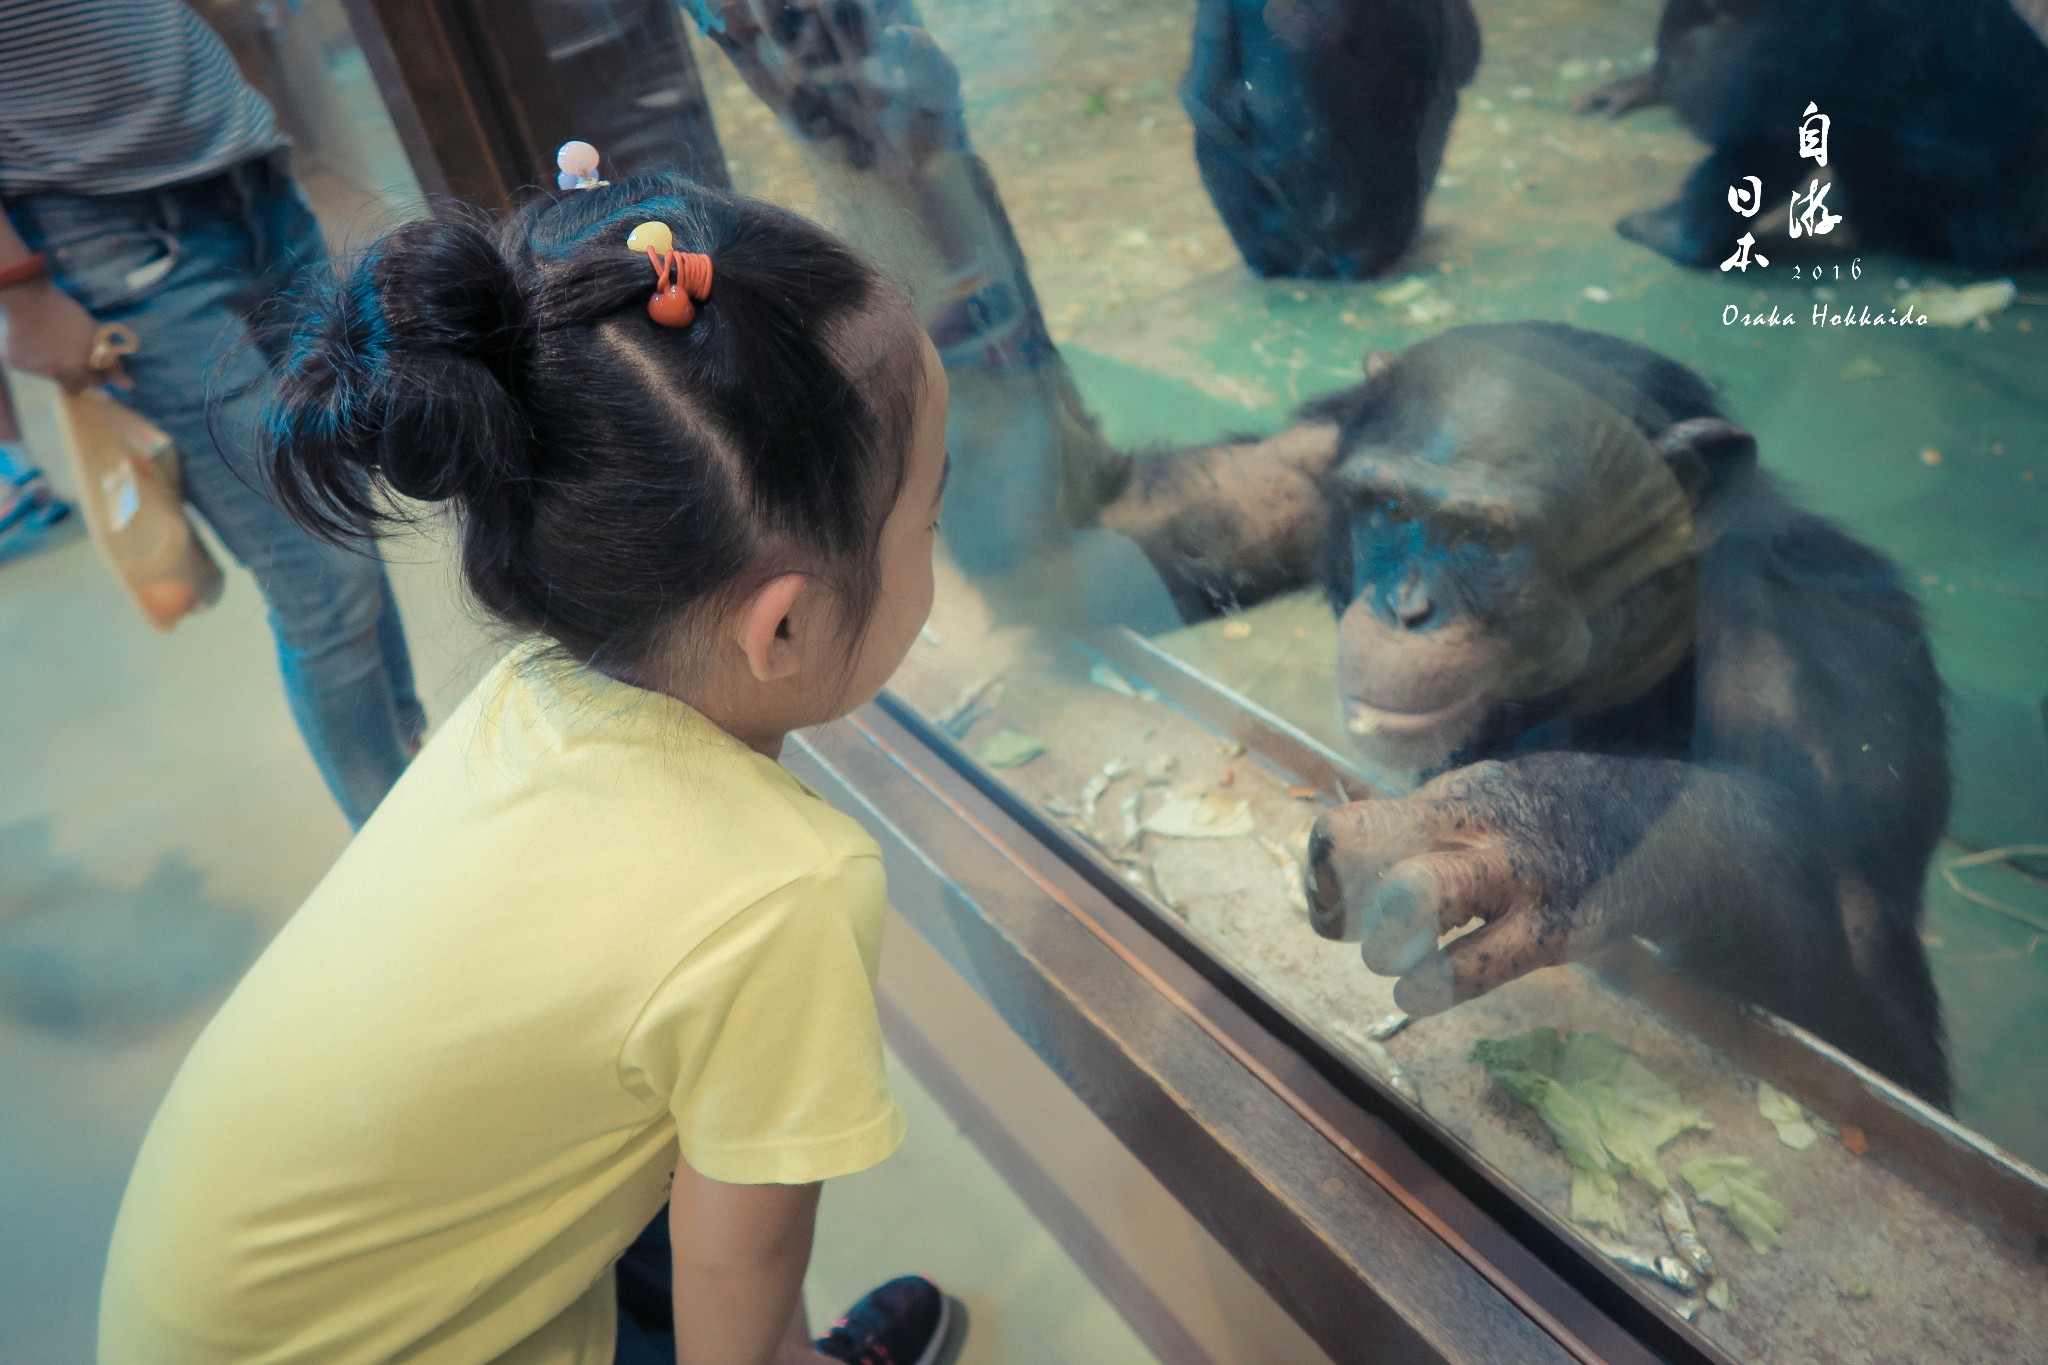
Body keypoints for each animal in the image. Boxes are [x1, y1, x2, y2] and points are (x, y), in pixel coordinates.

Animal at [1073, 323, 1949, 1113]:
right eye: (1387, 506)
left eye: (1489, 539)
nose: (1406, 608)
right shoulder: (1312, 456)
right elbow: (1130, 527)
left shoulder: (1830, 676)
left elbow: (1869, 1001)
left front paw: (1546, 822)